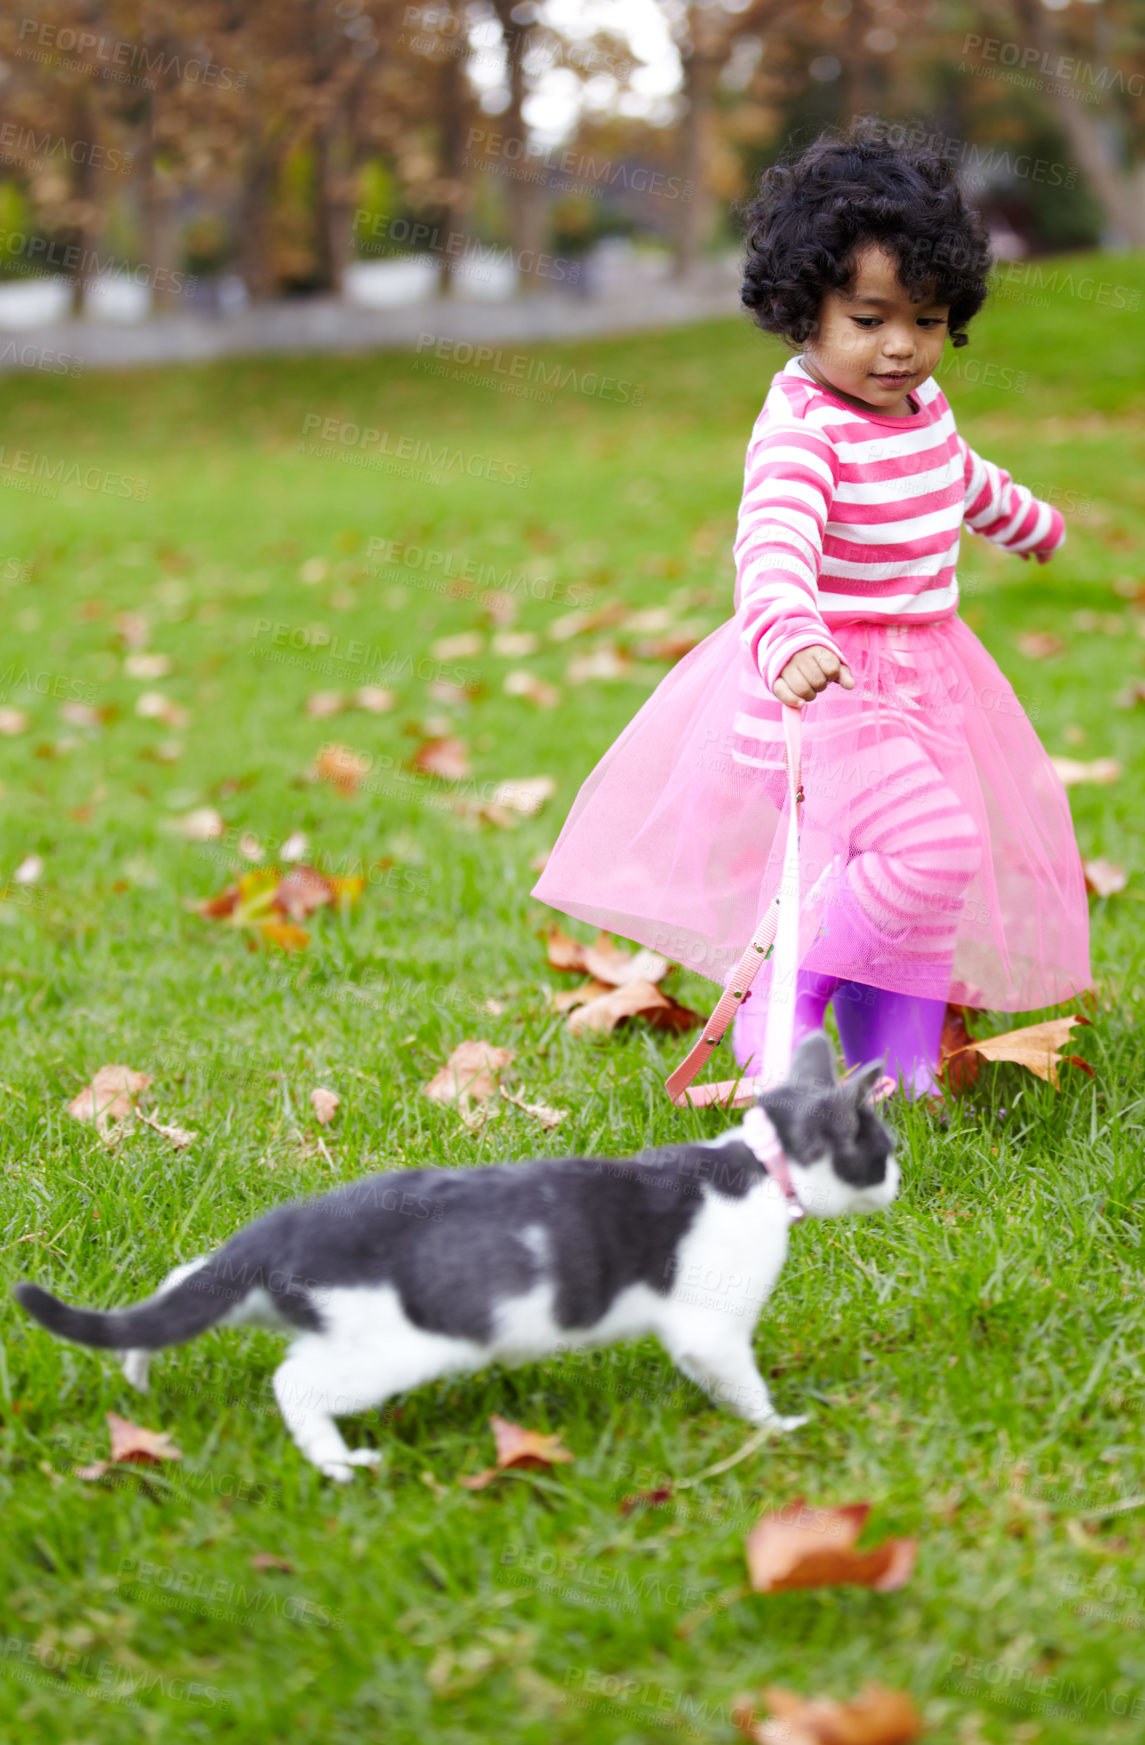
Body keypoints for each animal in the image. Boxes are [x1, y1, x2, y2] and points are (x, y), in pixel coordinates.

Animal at [13, 1033, 900, 1486]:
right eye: (883, 1148)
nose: (896, 1179)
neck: (757, 1162)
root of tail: (276, 1235)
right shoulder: (707, 1326)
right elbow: (738, 1381)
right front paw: (779, 1424)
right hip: (394, 1345)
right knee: (293, 1383)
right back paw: (338, 1460)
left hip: (248, 1288)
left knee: (178, 1283)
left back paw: (138, 1364)